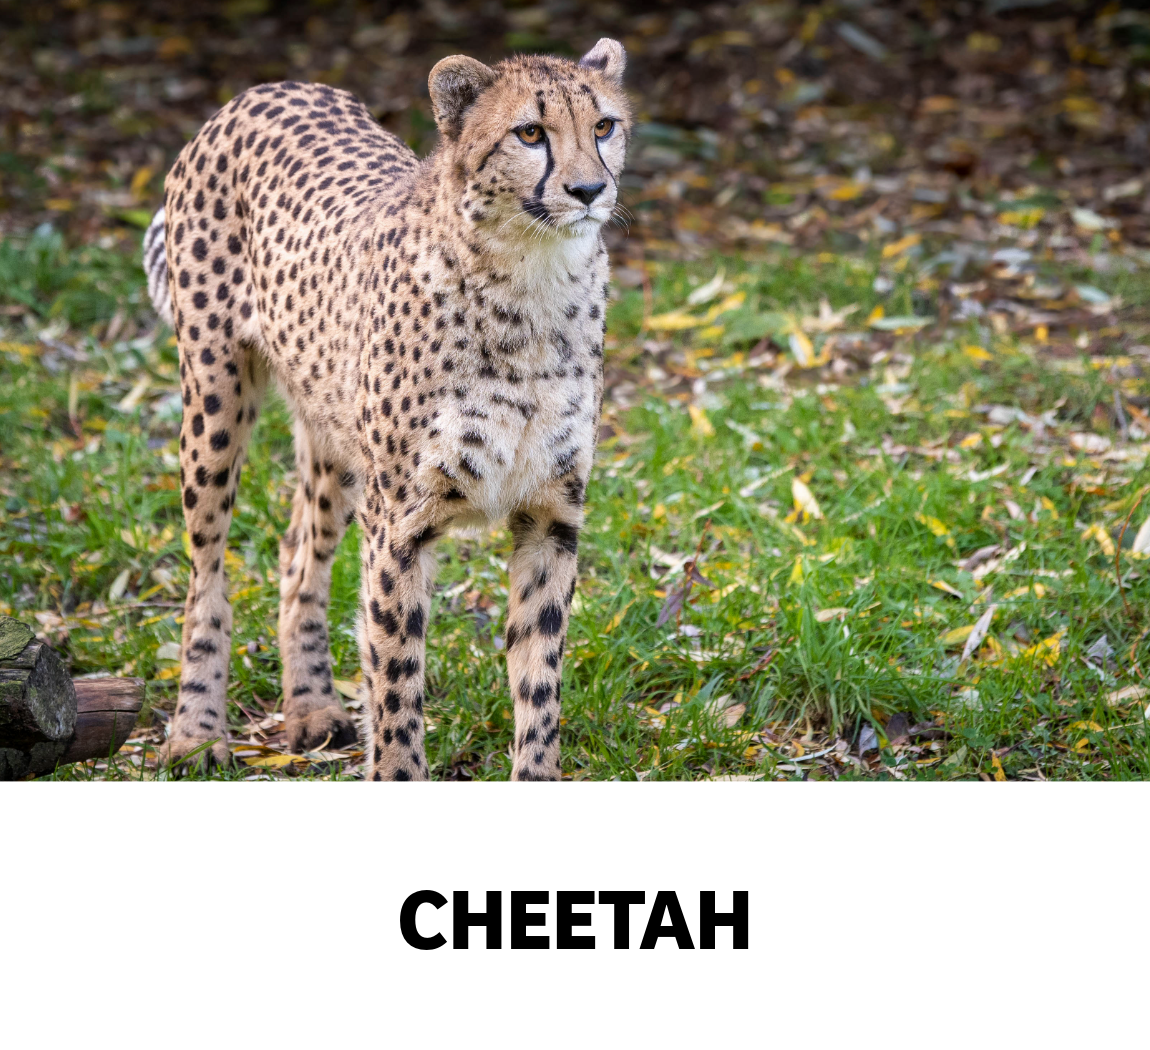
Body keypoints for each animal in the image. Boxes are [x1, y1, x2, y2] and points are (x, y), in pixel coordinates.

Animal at [143, 38, 631, 781]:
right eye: (530, 133)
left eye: (603, 126)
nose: (588, 190)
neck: (534, 281)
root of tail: (267, 87)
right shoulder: (399, 526)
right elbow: (397, 681)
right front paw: (397, 770)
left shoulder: (550, 517)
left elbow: (539, 679)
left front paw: (536, 772)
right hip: (214, 400)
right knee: (206, 570)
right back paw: (197, 730)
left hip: (334, 440)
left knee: (298, 554)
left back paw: (311, 705)